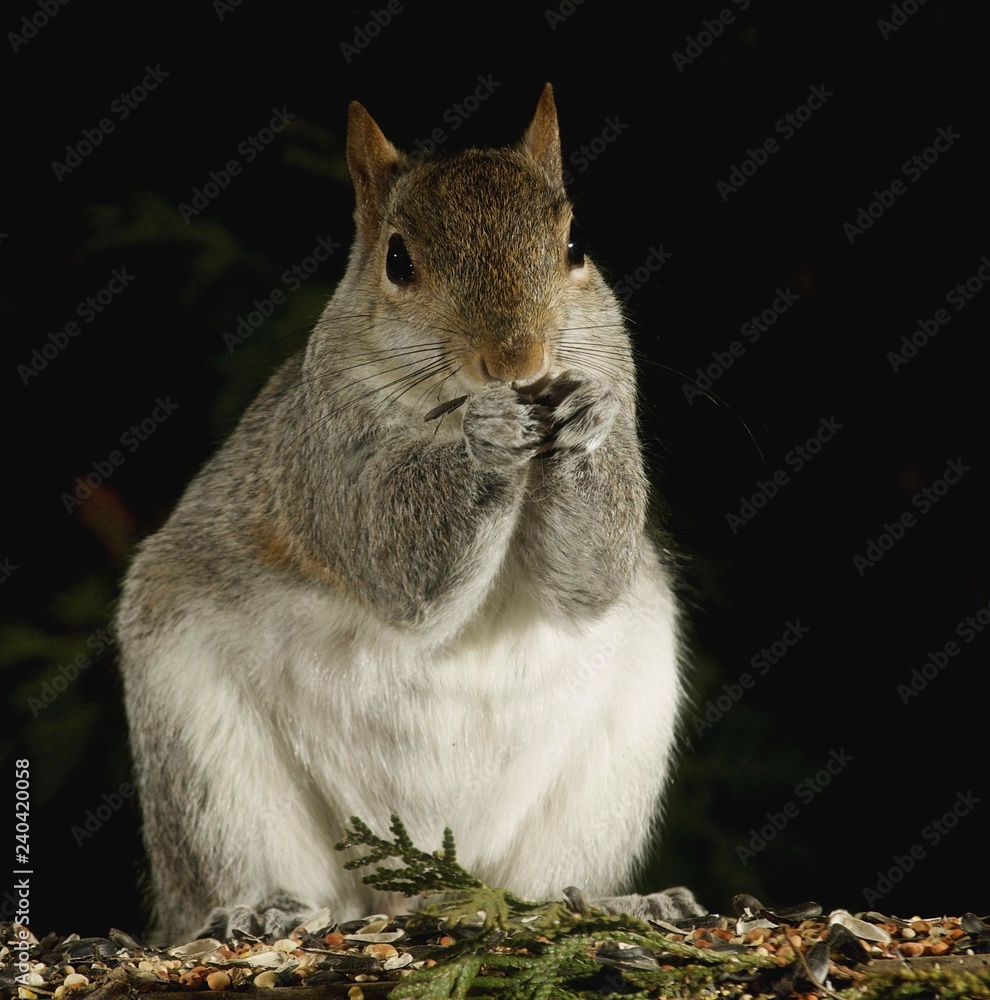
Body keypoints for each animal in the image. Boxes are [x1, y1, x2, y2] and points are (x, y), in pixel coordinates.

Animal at [116, 83, 702, 944]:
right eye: (398, 260)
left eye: (574, 245)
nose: (517, 360)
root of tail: (418, 886)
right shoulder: (321, 460)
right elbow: (398, 564)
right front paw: (486, 434)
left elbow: (591, 577)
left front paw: (584, 417)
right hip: (207, 761)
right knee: (250, 869)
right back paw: (260, 909)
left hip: (613, 758)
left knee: (543, 883)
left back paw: (613, 902)